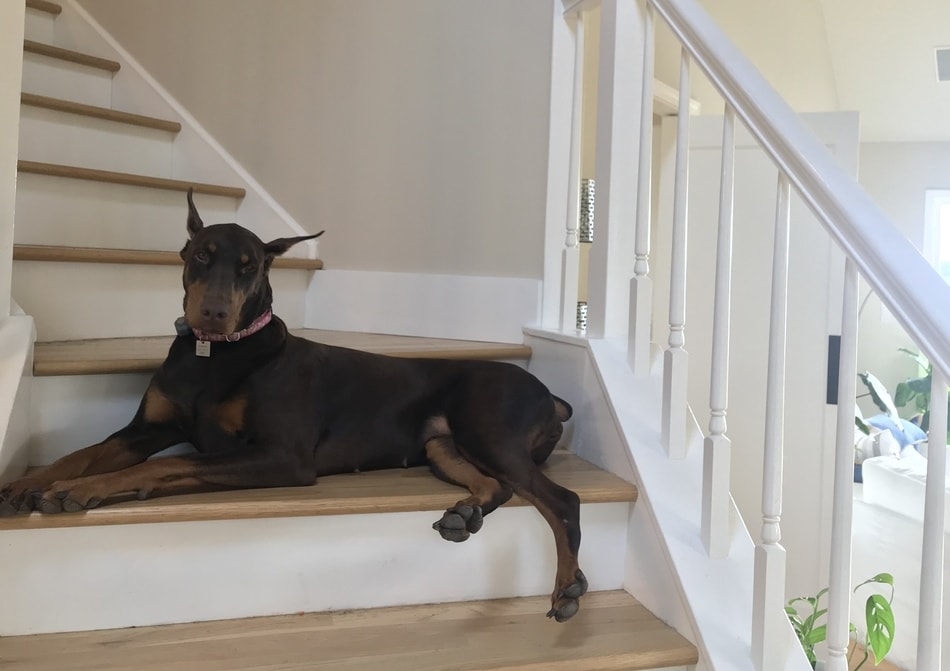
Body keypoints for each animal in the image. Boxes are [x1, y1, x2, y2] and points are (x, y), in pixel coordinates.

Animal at [0, 189, 588, 620]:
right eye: (200, 256)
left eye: (250, 266)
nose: (213, 314)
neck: (212, 355)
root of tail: (551, 395)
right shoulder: (147, 428)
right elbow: (85, 454)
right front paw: (28, 483)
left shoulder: (283, 456)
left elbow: (167, 465)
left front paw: (77, 490)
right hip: (443, 445)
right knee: (498, 486)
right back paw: (465, 514)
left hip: (486, 425)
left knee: (562, 501)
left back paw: (566, 587)